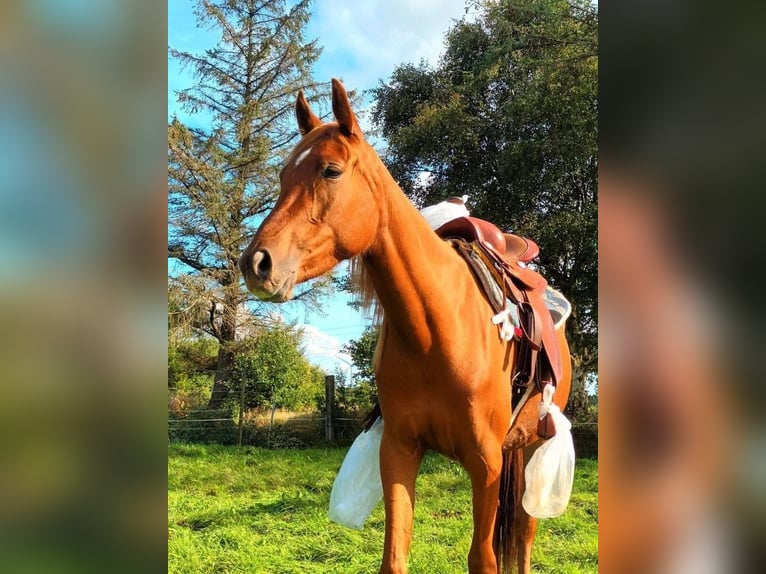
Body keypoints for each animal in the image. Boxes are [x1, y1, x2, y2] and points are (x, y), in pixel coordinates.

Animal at [239, 78, 572, 574]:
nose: (256, 263)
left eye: (331, 171)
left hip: (531, 446)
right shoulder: (398, 451)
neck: (435, 331)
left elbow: (484, 558)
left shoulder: (486, 463)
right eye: (282, 177)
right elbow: (394, 556)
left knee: (525, 536)